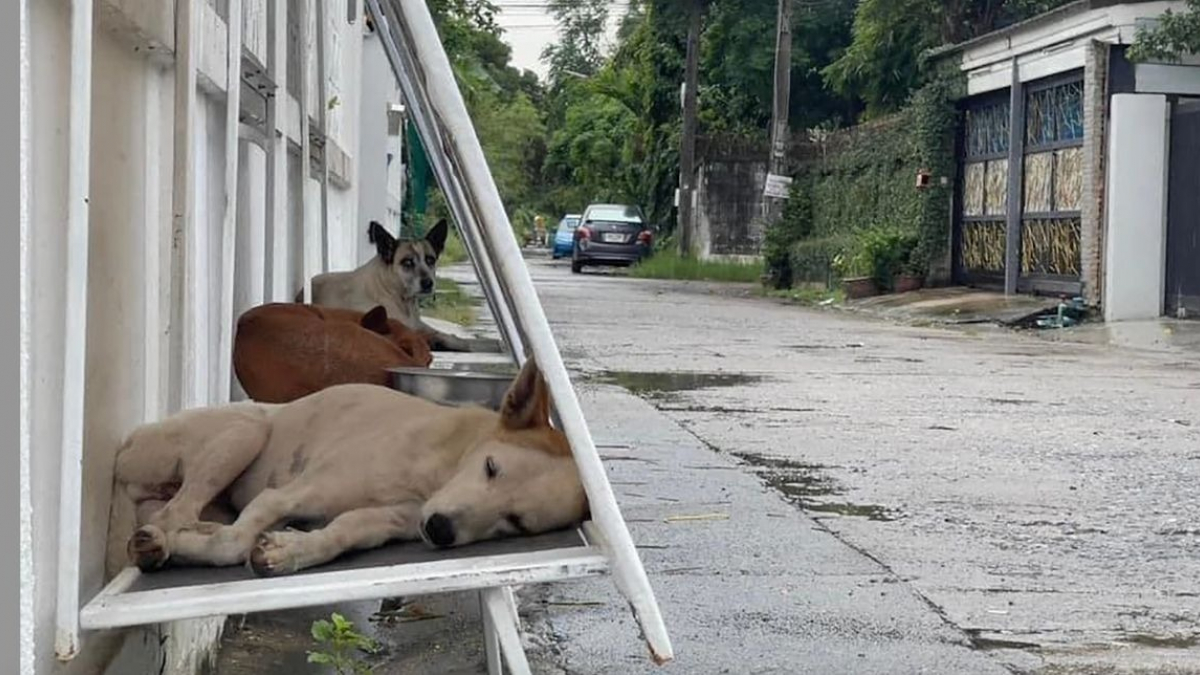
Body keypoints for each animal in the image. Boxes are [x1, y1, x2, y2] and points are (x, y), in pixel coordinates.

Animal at [110, 357, 588, 571]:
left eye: (516, 522)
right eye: (491, 467)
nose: (440, 531)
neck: (437, 470)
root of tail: (130, 442)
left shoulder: (385, 522)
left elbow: (341, 533)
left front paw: (293, 549)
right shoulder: (283, 496)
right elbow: (234, 544)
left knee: (178, 516)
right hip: (245, 430)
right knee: (177, 513)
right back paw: (167, 542)